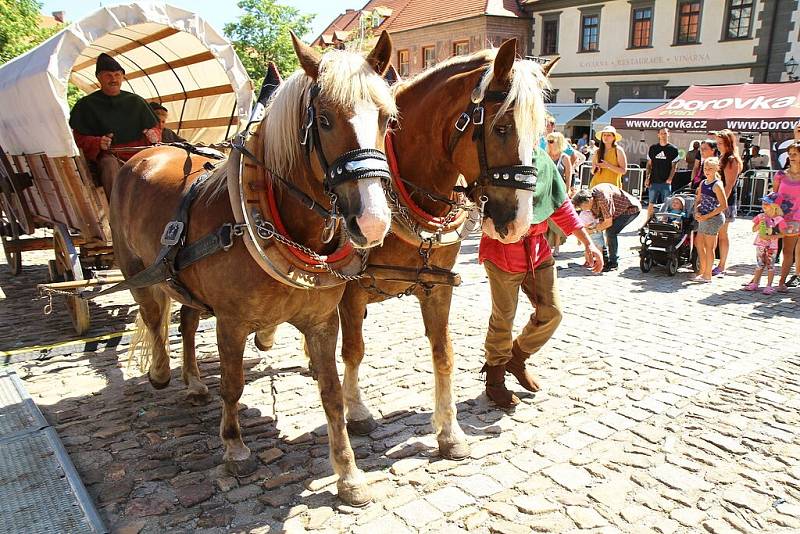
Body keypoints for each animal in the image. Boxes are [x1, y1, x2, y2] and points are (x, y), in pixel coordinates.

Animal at [111, 32, 398, 506]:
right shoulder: (231, 322)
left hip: (184, 281)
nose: (372, 222)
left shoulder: (322, 322)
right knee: (154, 315)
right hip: (134, 265)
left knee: (186, 321)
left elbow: (332, 393)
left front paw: (348, 473)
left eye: (388, 119)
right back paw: (161, 372)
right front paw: (234, 446)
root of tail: (145, 154)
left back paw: (193, 382)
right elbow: (234, 384)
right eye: (323, 120)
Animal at [332, 42, 552, 458]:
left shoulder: (437, 287)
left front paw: (450, 433)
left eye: (540, 133)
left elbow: (444, 354)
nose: (518, 224)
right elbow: (353, 350)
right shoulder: (350, 290)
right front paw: (356, 411)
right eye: (501, 127)